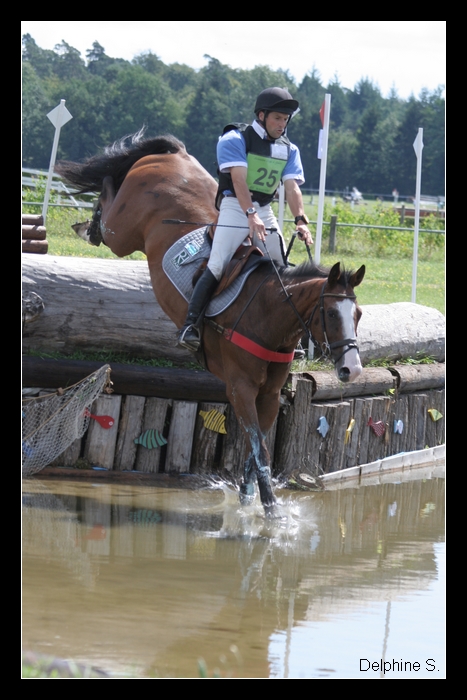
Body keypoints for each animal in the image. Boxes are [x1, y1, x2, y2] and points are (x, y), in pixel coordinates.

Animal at [56, 130, 368, 520]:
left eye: (358, 315)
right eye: (330, 314)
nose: (352, 370)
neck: (267, 315)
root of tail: (174, 154)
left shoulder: (268, 394)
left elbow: (254, 451)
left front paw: (248, 501)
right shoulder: (240, 388)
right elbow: (261, 451)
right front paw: (271, 514)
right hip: (122, 233)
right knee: (109, 202)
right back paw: (88, 223)